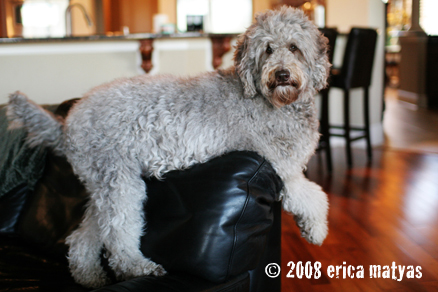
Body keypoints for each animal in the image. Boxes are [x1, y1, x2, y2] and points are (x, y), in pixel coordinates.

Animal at [6, 6, 328, 288]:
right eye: (268, 50)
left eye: (294, 47)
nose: (281, 75)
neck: (273, 101)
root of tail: (67, 123)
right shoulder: (283, 169)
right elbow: (313, 197)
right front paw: (316, 231)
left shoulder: (288, 168)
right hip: (119, 182)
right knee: (118, 237)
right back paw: (138, 267)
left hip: (102, 186)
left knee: (83, 238)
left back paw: (90, 277)